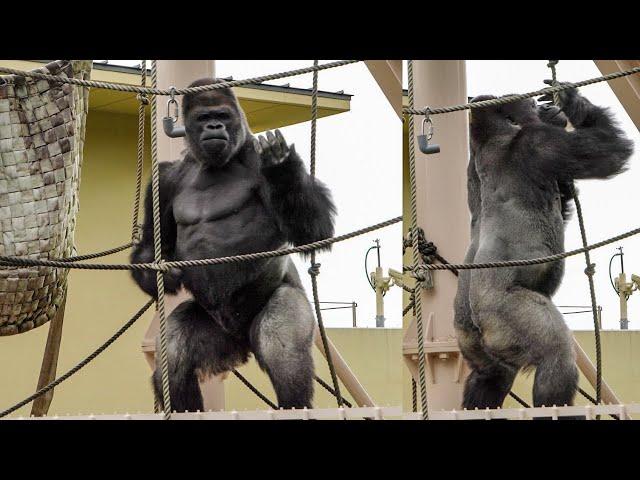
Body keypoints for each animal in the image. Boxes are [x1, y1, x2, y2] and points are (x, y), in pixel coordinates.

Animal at [132, 79, 338, 412]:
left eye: (222, 115)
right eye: (204, 117)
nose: (215, 126)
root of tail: (241, 343)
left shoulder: (254, 155)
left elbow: (314, 231)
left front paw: (282, 166)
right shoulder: (164, 179)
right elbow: (153, 241)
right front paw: (159, 274)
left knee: (281, 345)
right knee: (173, 357)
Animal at [452, 86, 632, 412]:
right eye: (533, 105)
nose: (545, 109)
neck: (490, 137)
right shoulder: (536, 142)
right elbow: (609, 153)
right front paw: (573, 102)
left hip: (468, 336)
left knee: (490, 374)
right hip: (502, 314)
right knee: (556, 356)